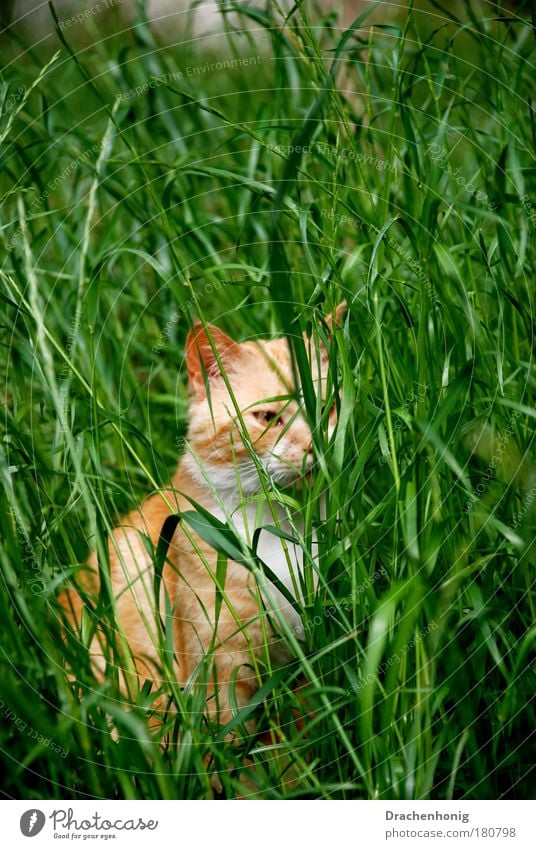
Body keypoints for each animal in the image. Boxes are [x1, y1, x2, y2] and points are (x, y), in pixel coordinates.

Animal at [58, 304, 344, 724]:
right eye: (267, 417)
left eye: (325, 409)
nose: (313, 446)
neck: (275, 526)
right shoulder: (220, 673)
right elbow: (238, 738)